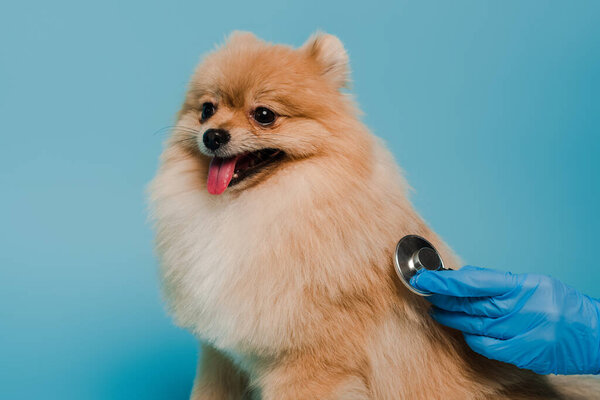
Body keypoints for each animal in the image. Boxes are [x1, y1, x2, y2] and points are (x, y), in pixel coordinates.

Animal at [149, 32, 596, 400]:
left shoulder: (310, 365)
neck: (254, 208)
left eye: (264, 115)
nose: (212, 136)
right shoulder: (220, 355)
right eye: (207, 110)